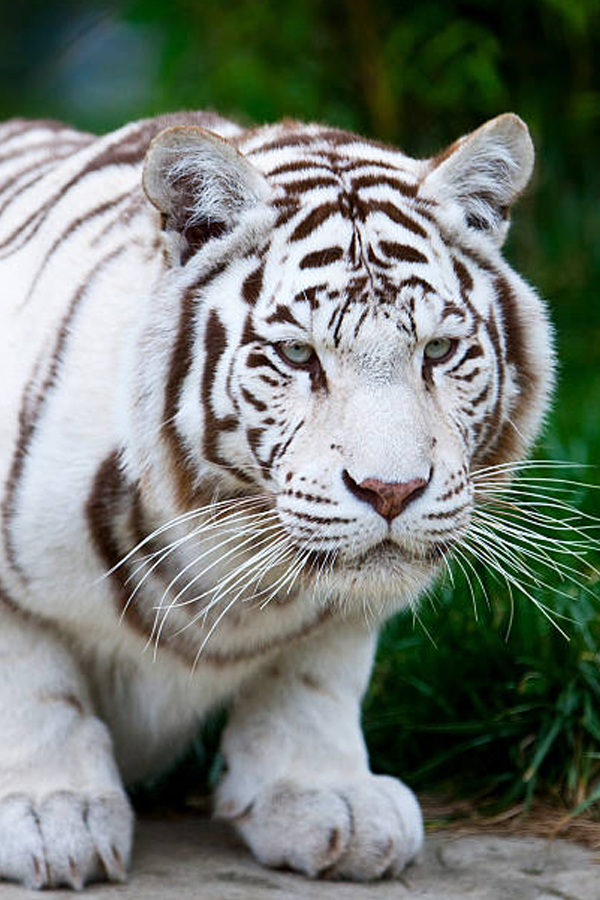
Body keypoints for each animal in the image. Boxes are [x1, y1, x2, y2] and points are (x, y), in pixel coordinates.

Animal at [0, 109, 553, 889]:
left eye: (440, 351)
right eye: (297, 356)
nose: (393, 490)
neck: (231, 555)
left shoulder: (340, 619)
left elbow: (313, 674)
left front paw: (328, 795)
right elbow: (32, 681)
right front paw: (54, 811)